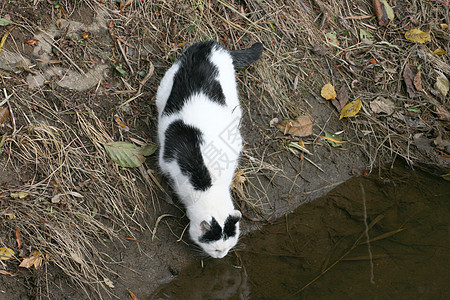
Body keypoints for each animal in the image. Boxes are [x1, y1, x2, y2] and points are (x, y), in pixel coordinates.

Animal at [156, 39, 262, 258]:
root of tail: (211, 44)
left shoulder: (234, 146)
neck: (207, 183)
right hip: (164, 87)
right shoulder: (167, 162)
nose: (221, 257)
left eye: (229, 246)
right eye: (215, 248)